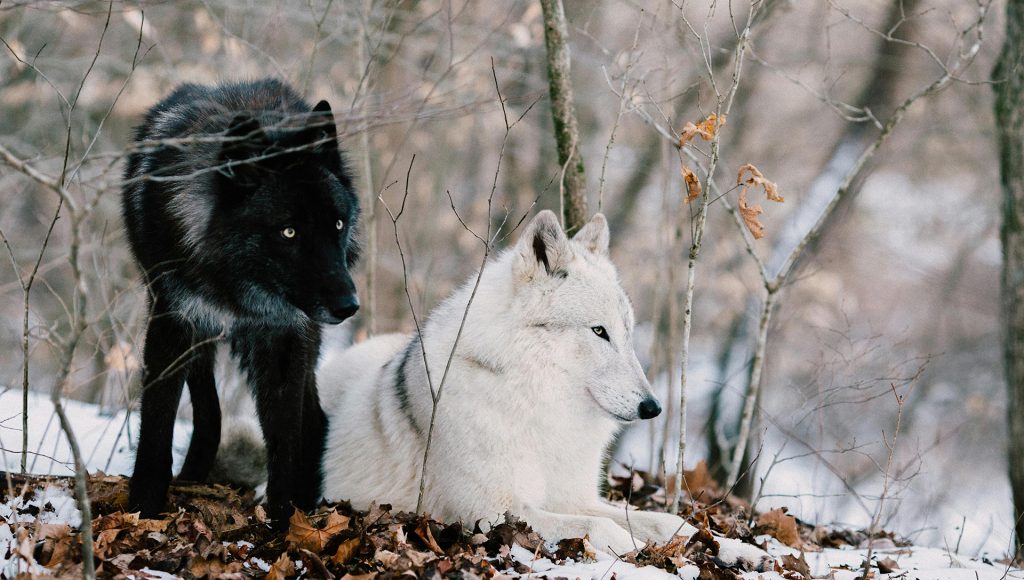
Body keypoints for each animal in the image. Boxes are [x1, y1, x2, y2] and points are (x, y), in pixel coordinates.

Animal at [121, 78, 359, 526]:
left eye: (337, 224)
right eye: (288, 232)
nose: (348, 305)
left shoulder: (283, 337)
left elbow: (284, 437)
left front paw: (284, 521)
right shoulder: (173, 321)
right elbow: (159, 424)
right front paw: (144, 507)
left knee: (313, 420)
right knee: (209, 411)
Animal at [317, 211, 768, 566]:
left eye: (627, 332)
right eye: (599, 332)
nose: (652, 407)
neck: (539, 406)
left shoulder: (574, 497)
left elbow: (668, 521)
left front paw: (737, 549)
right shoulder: (490, 511)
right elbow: (604, 528)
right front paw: (643, 553)